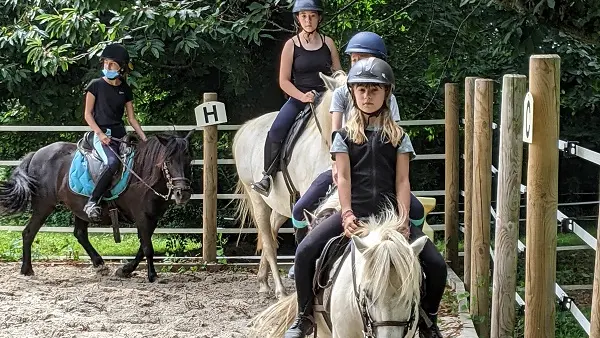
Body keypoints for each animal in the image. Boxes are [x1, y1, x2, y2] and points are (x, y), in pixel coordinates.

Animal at [0, 131, 193, 282]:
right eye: (168, 160)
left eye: (188, 159)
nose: (182, 193)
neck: (141, 175)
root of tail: (35, 155)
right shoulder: (142, 217)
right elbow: (148, 248)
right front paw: (152, 275)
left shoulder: (152, 218)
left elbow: (142, 248)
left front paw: (125, 270)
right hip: (44, 206)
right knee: (28, 233)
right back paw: (27, 269)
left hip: (79, 207)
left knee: (80, 234)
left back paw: (99, 263)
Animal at [233, 71, 350, 298]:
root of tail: (246, 127)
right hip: (258, 200)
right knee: (268, 241)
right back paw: (279, 289)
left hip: (282, 205)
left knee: (271, 232)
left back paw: (263, 281)